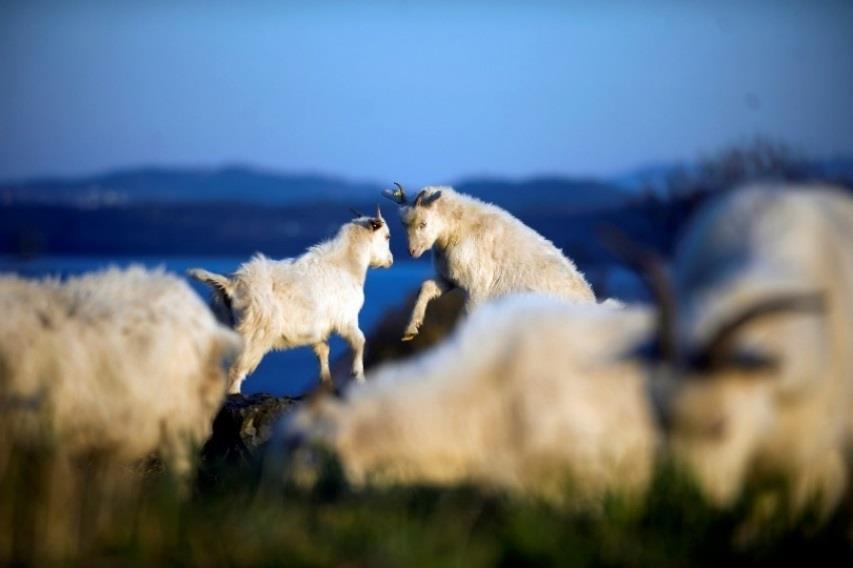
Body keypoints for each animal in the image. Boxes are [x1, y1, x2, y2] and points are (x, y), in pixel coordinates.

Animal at [190, 209, 392, 394]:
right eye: (387, 236)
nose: (390, 261)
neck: (345, 264)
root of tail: (230, 285)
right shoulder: (346, 319)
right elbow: (359, 341)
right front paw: (359, 377)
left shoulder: (318, 330)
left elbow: (323, 351)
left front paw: (326, 383)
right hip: (254, 334)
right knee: (235, 371)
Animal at [382, 184, 592, 340]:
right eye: (403, 225)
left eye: (423, 223)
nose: (412, 252)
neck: (458, 228)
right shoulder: (451, 277)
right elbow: (425, 288)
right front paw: (411, 328)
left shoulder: (478, 286)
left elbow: (469, 317)